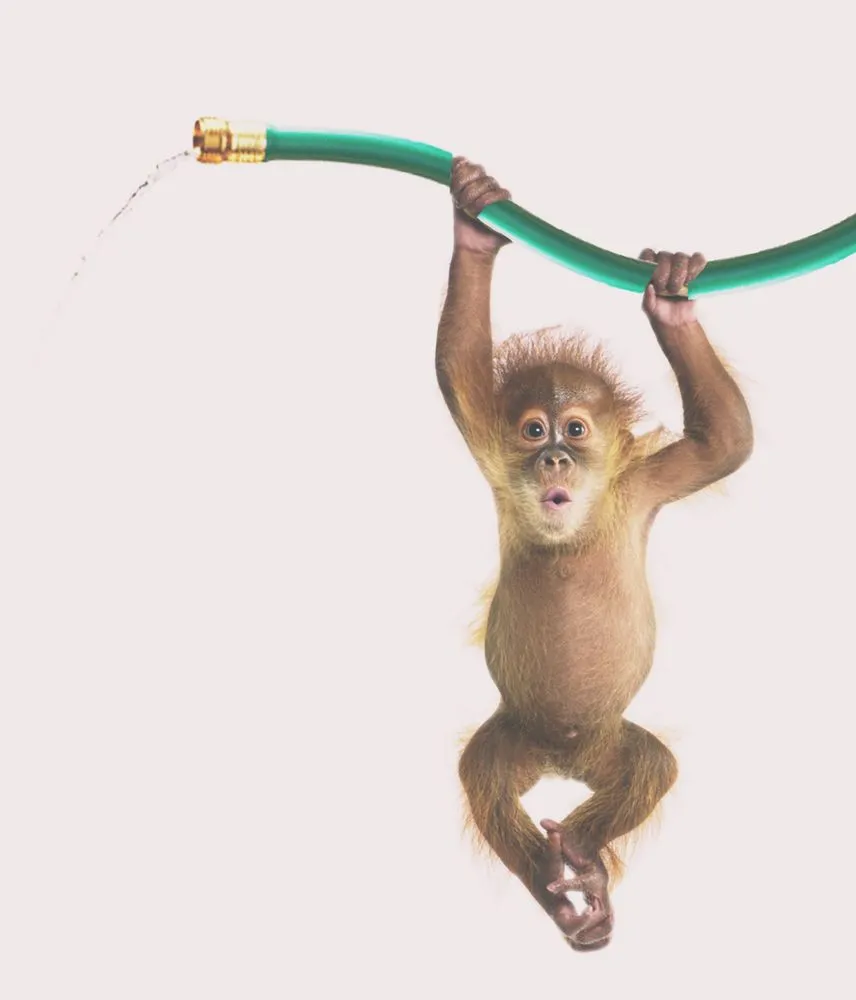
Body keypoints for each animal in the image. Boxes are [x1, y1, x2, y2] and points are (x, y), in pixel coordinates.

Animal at [435, 157, 753, 952]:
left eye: (575, 429)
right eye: (532, 430)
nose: (553, 458)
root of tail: (563, 758)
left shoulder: (644, 486)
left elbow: (726, 442)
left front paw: (672, 297)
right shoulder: (490, 449)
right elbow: (457, 368)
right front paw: (474, 223)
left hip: (609, 745)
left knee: (651, 767)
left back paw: (580, 857)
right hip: (516, 738)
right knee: (483, 778)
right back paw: (559, 889)